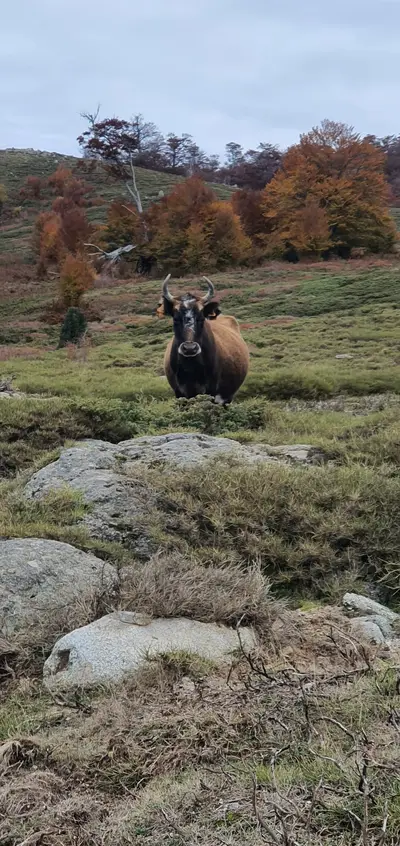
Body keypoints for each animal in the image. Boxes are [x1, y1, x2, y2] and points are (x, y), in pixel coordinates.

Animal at [157, 275, 249, 405]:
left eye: (201, 318)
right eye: (175, 319)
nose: (189, 349)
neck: (191, 367)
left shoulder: (211, 390)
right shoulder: (179, 393)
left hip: (228, 397)